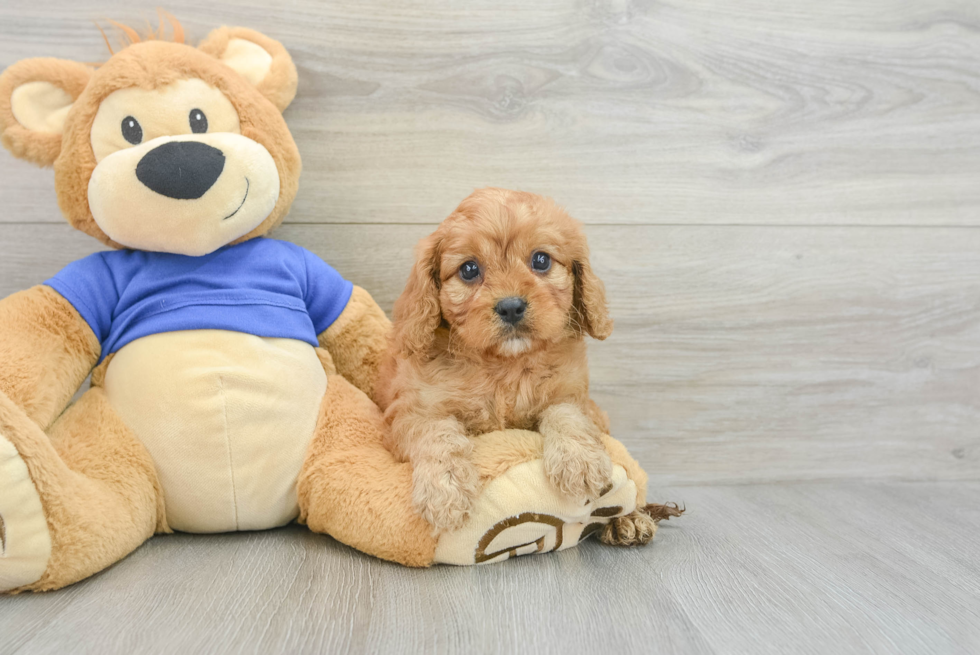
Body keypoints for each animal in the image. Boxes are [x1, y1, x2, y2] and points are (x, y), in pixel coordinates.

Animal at [378, 186, 656, 544]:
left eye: (541, 260)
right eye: (469, 269)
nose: (511, 307)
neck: (505, 365)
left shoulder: (578, 398)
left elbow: (566, 413)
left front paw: (579, 462)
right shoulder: (409, 413)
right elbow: (437, 434)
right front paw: (446, 491)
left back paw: (628, 519)